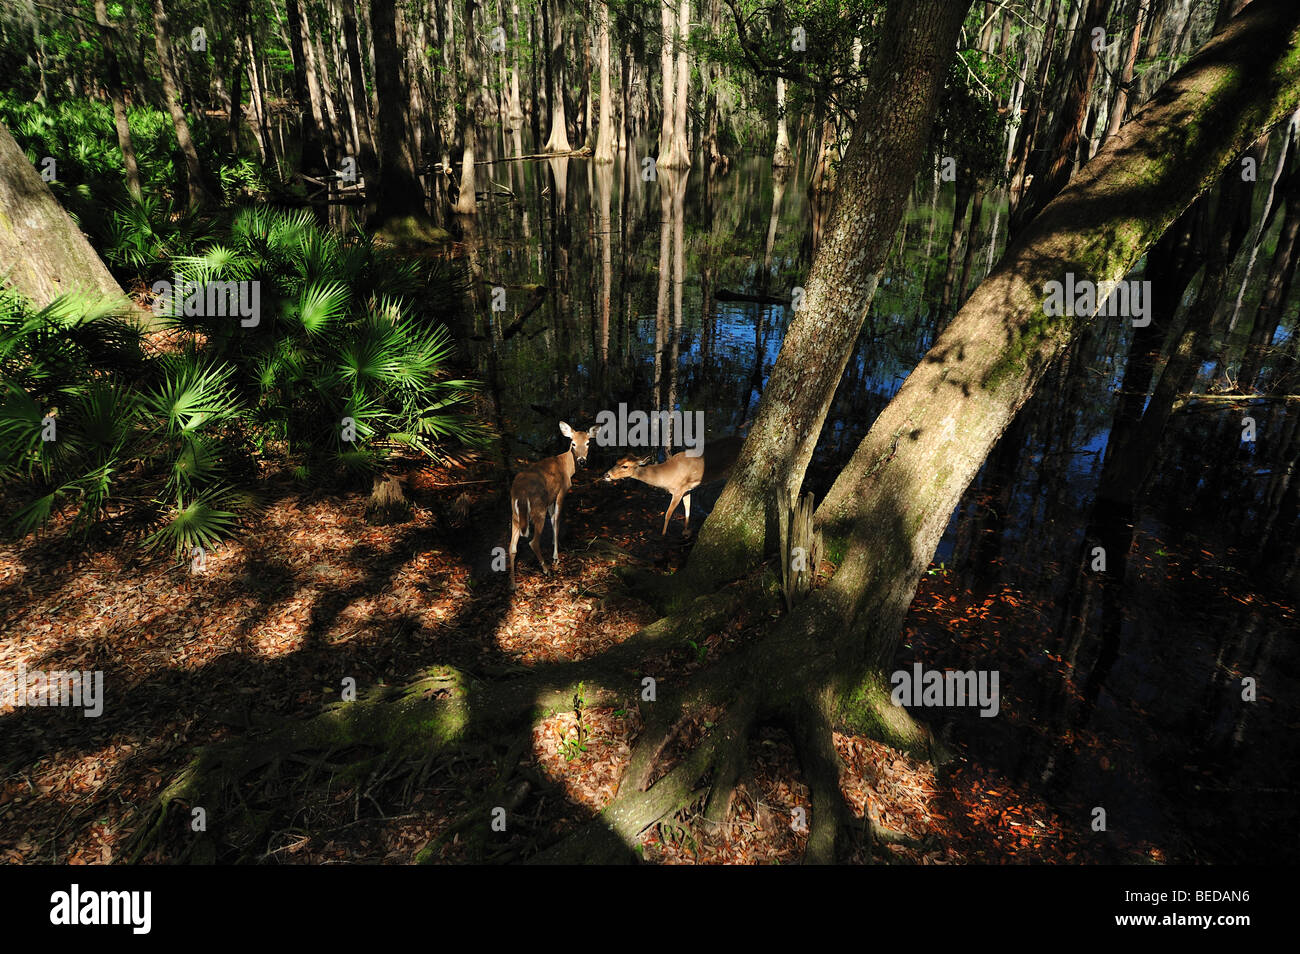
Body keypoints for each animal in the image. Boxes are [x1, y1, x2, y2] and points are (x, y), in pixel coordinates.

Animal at [506, 423, 595, 590]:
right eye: (573, 443)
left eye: (588, 443)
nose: (582, 461)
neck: (567, 467)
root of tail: (521, 491)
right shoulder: (561, 492)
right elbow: (557, 521)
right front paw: (556, 557)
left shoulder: (550, 499)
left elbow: (553, 520)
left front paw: (555, 544)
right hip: (537, 508)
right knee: (533, 542)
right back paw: (547, 569)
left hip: (515, 513)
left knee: (512, 547)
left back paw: (513, 585)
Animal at [598, 434, 743, 535]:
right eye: (617, 461)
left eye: (625, 466)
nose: (606, 475)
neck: (667, 476)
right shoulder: (687, 489)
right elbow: (687, 508)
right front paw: (685, 531)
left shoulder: (678, 490)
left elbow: (668, 513)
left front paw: (662, 534)